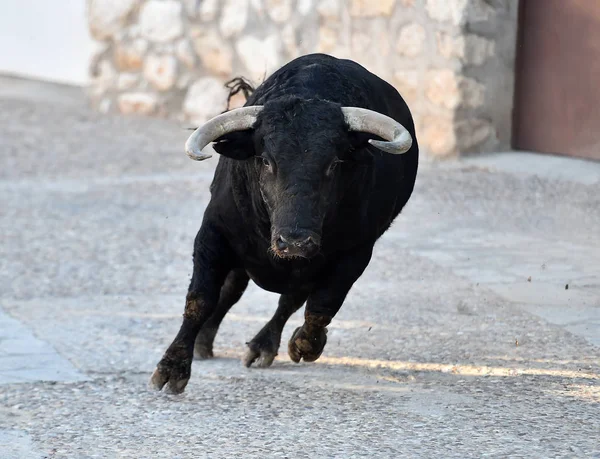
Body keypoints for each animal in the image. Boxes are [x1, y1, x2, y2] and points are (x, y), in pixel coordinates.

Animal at [150, 53, 418, 392]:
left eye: (333, 163)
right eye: (266, 160)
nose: (294, 241)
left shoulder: (356, 252)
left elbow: (321, 305)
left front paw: (305, 345)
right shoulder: (212, 234)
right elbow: (200, 298)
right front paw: (172, 367)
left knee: (290, 301)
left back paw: (262, 345)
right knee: (232, 289)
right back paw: (204, 343)